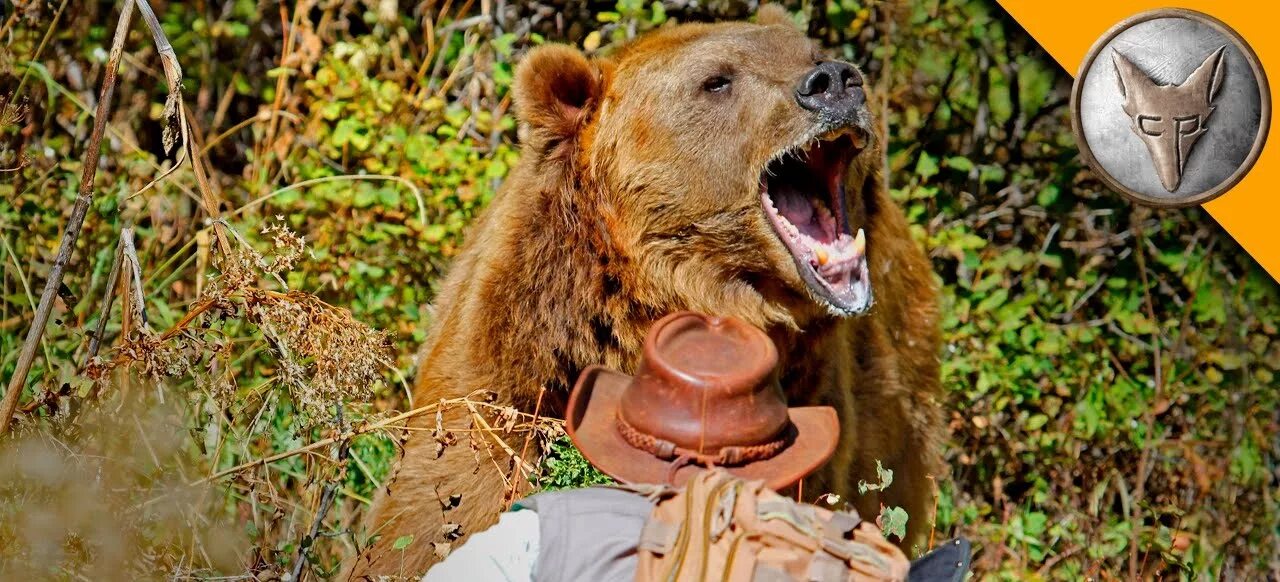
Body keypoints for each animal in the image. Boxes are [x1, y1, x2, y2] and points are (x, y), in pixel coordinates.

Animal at [350, 7, 942, 578]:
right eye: (717, 80)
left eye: (811, 52)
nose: (835, 81)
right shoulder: (506, 378)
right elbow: (443, 504)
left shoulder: (816, 400)